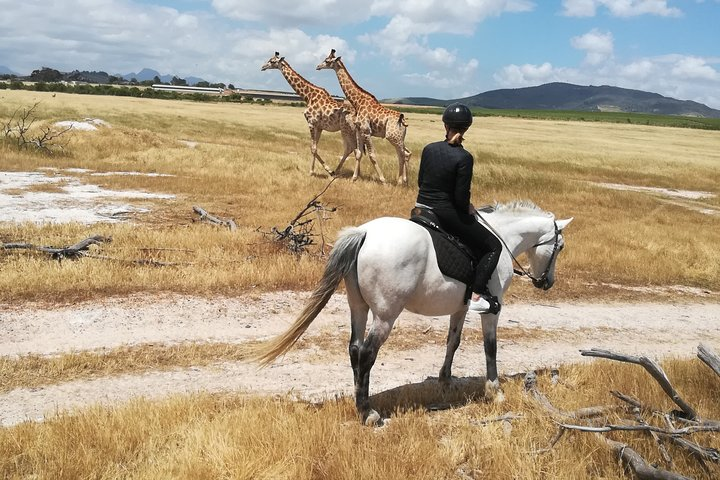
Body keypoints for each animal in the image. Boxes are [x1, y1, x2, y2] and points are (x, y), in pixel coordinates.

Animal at [251, 201, 573, 425]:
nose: (547, 282)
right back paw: (368, 413)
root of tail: (364, 232)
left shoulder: (461, 307)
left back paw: (360, 401)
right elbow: (490, 347)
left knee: (354, 349)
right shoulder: (491, 311)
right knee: (367, 353)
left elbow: (453, 341)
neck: (503, 238)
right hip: (385, 315)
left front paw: (445, 380)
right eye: (560, 246)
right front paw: (495, 390)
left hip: (359, 307)